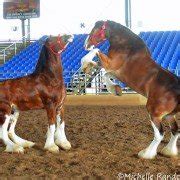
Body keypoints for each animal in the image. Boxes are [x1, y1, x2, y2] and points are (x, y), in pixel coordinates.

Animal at [84, 20, 180, 160]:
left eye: (95, 30)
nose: (86, 44)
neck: (127, 47)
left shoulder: (111, 64)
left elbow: (97, 51)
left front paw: (86, 63)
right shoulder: (114, 72)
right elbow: (106, 75)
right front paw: (116, 89)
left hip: (154, 112)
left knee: (160, 134)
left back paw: (146, 154)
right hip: (169, 115)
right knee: (175, 131)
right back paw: (168, 152)